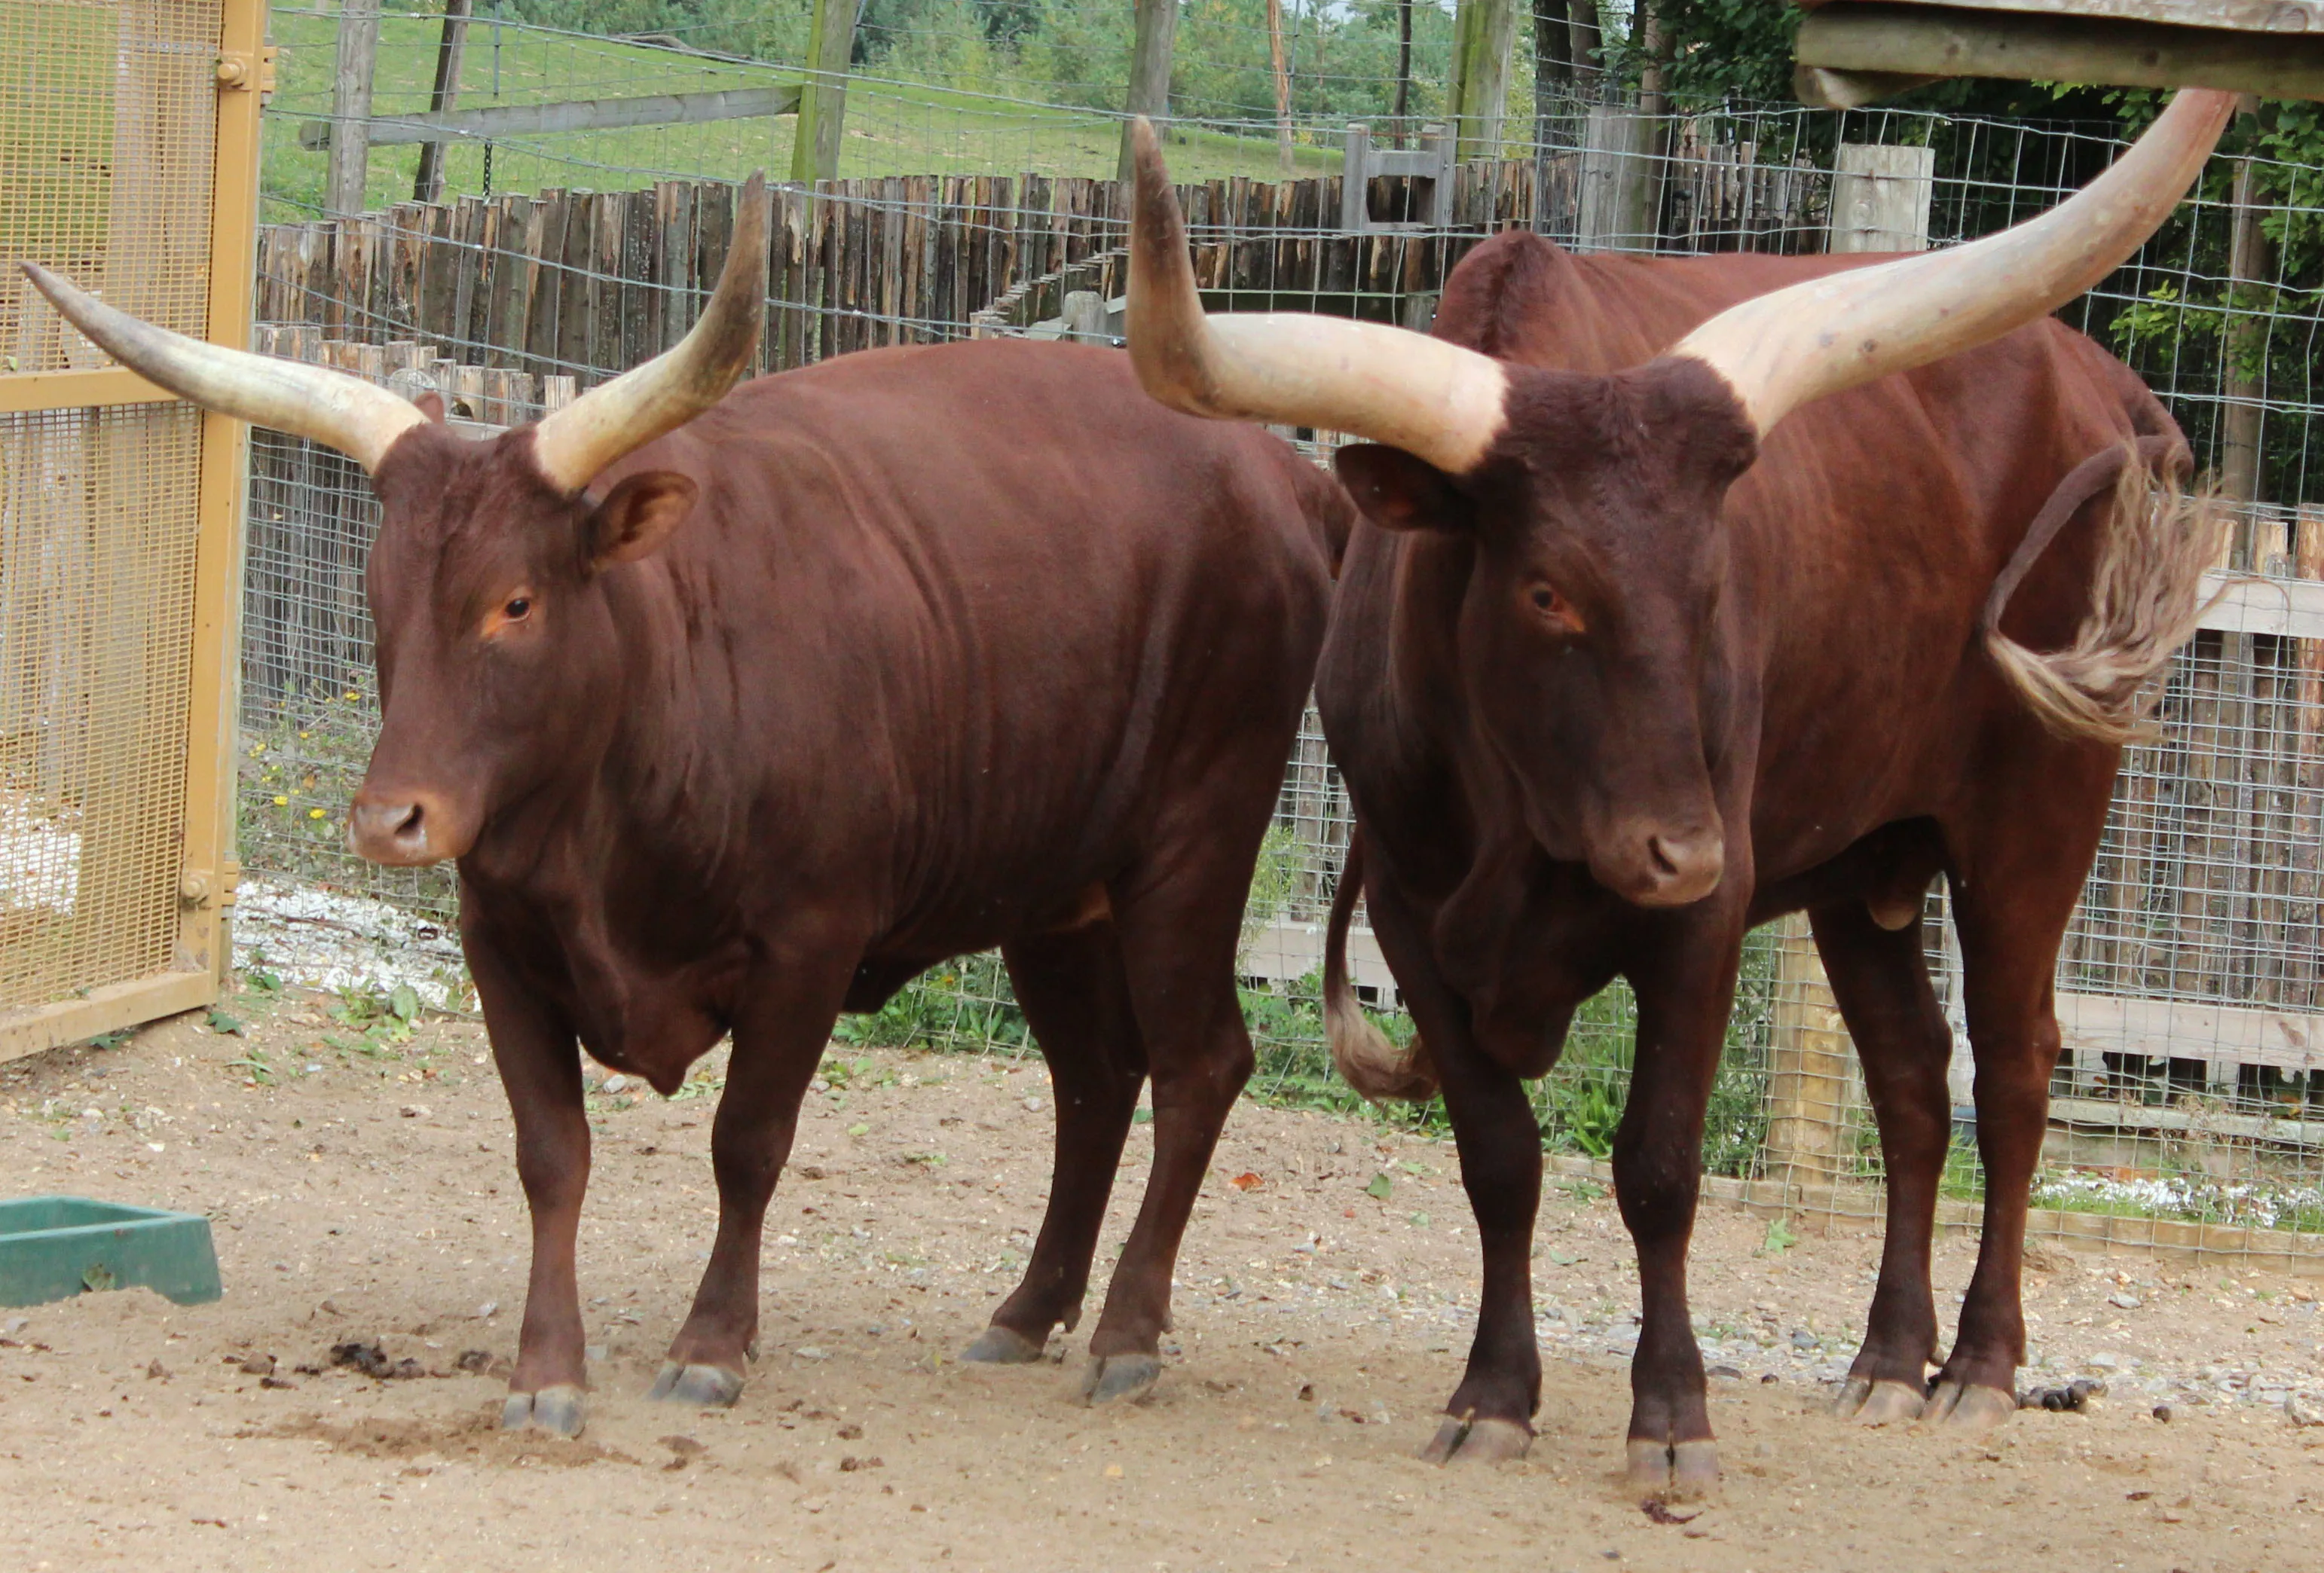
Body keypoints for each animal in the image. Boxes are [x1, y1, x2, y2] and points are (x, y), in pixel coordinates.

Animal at [26, 172, 1352, 1437]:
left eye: (516, 602)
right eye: (374, 590)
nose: (390, 822)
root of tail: (1280, 473)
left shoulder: (810, 943)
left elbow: (747, 1146)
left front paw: (711, 1347)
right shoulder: (501, 943)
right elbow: (552, 1156)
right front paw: (546, 1371)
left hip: (1194, 843)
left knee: (1198, 1065)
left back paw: (1127, 1332)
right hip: (1053, 888)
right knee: (1094, 1080)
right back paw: (1027, 1314)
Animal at [1120, 89, 2232, 1499]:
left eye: (1711, 585)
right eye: (1546, 590)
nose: (1679, 848)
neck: (1519, 814)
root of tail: (2098, 385)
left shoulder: (1701, 924)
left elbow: (1655, 1167)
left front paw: (1670, 1417)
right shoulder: (1412, 919)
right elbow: (1499, 1161)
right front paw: (1493, 1396)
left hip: (2035, 814)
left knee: (2019, 1066)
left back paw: (1977, 1366)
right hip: (1865, 864)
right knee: (1913, 1077)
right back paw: (1886, 1356)